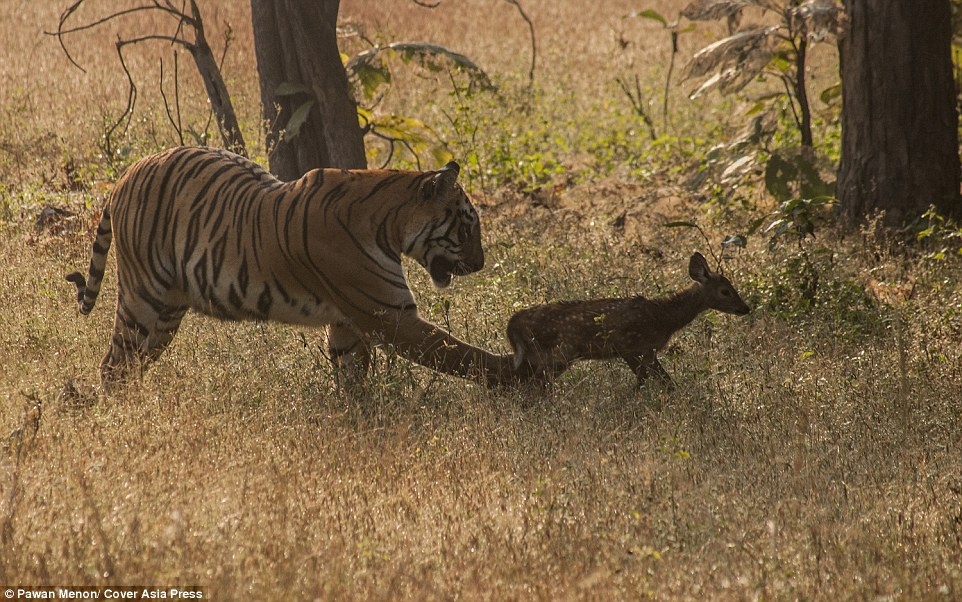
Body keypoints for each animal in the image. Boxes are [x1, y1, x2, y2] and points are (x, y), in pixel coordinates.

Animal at [67, 146, 516, 390]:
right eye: (467, 226)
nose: (481, 263)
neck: (389, 221)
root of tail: (124, 176)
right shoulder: (389, 316)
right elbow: (459, 354)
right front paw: (518, 375)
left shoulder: (348, 321)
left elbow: (353, 373)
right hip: (144, 297)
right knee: (114, 365)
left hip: (168, 312)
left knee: (133, 365)